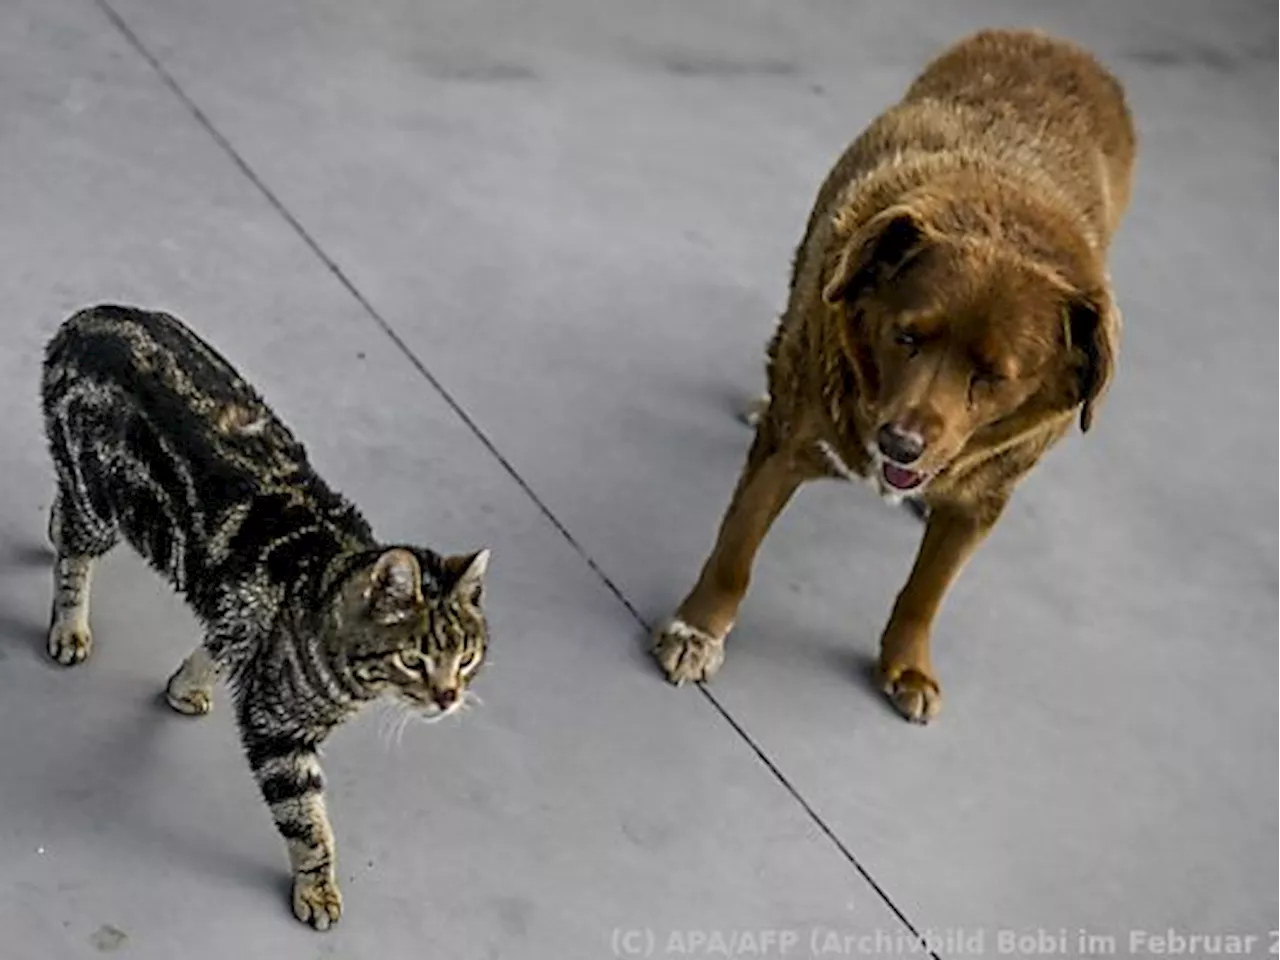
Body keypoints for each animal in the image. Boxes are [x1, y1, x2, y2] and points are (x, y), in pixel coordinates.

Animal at [40, 305, 488, 931]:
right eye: (414, 658)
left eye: (466, 658)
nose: (448, 697)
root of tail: (91, 316)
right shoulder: (278, 732)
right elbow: (309, 824)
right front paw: (317, 889)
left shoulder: (240, 618)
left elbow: (219, 644)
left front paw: (185, 686)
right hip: (102, 505)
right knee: (75, 553)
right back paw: (69, 626)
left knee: (62, 515)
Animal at [655, 28, 1136, 721]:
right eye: (906, 336)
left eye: (994, 375)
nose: (899, 445)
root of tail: (1051, 41)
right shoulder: (788, 446)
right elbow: (736, 548)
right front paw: (697, 630)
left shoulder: (981, 505)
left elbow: (926, 589)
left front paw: (907, 665)